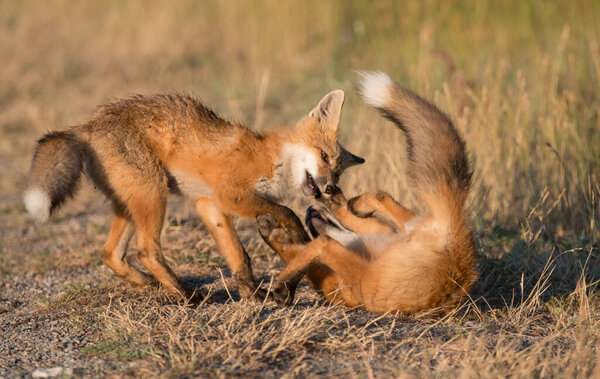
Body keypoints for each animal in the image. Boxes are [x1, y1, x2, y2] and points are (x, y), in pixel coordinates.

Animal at [23, 90, 364, 304]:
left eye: (337, 172)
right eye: (323, 156)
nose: (330, 189)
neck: (268, 157)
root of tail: (89, 124)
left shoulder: (208, 204)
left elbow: (238, 255)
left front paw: (251, 294)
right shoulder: (230, 195)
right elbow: (287, 213)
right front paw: (295, 236)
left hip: (130, 204)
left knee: (110, 253)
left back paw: (148, 284)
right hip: (152, 195)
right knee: (146, 251)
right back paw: (186, 296)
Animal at [258, 71, 478, 314]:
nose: (307, 212)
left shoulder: (338, 274)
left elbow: (299, 253)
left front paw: (283, 285)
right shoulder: (380, 233)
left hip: (365, 274)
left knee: (325, 243)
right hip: (401, 227)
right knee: (379, 196)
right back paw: (351, 203)